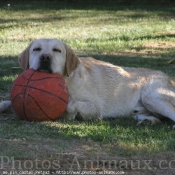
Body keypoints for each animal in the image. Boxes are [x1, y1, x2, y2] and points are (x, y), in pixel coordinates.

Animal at [2, 38, 175, 127]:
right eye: (36, 49)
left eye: (57, 50)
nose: (45, 57)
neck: (67, 80)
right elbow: (6, 102)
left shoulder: (96, 108)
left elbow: (71, 104)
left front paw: (68, 114)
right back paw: (148, 121)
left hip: (152, 97)